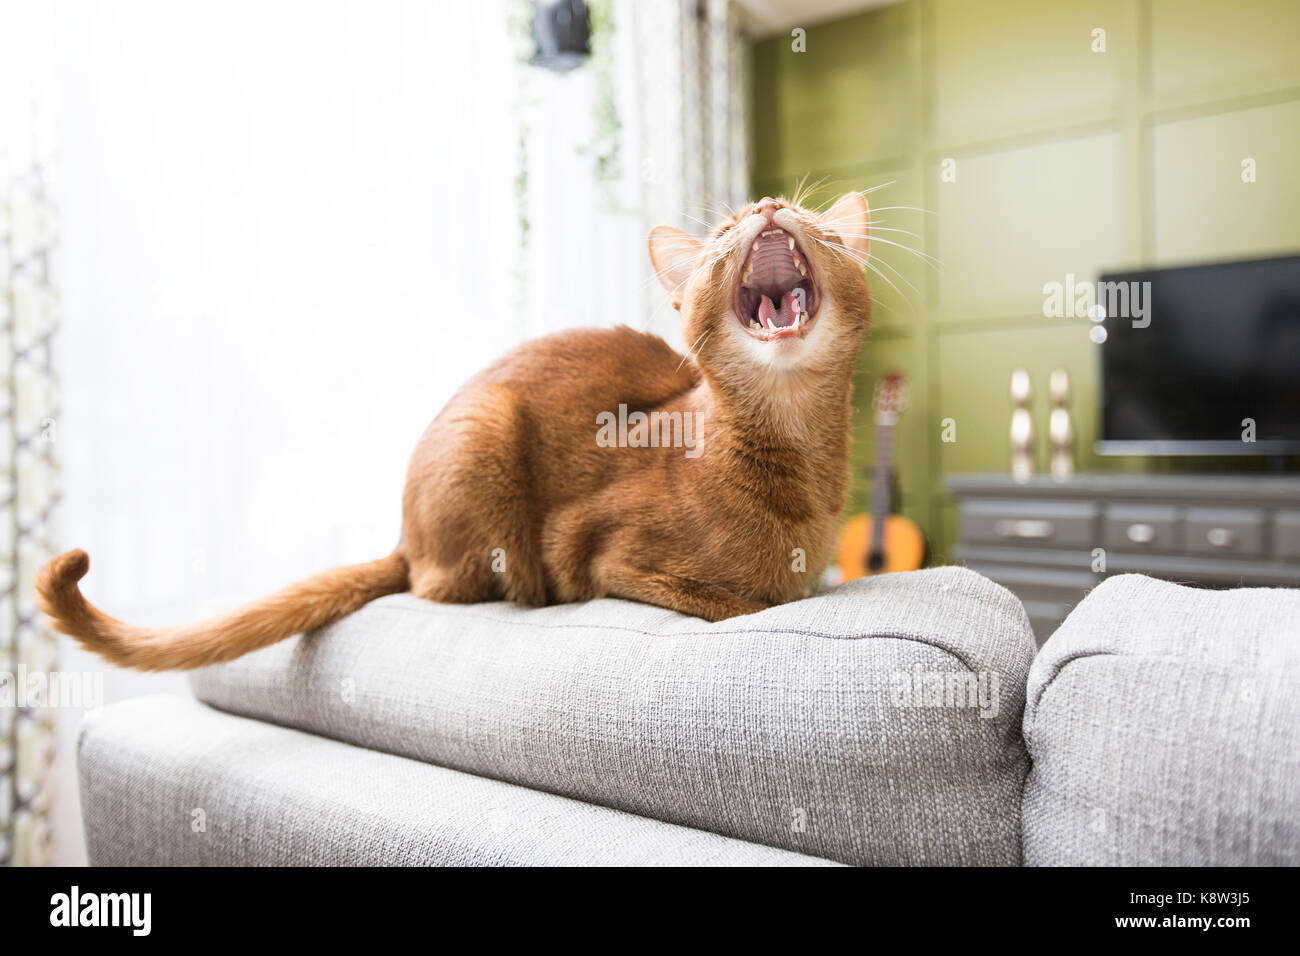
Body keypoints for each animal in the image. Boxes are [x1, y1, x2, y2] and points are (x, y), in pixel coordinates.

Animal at [35, 192, 873, 671]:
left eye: (811, 222)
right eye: (726, 229)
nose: (767, 205)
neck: (798, 463)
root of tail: (403, 537)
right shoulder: (602, 552)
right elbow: (748, 607)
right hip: (485, 434)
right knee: (446, 588)